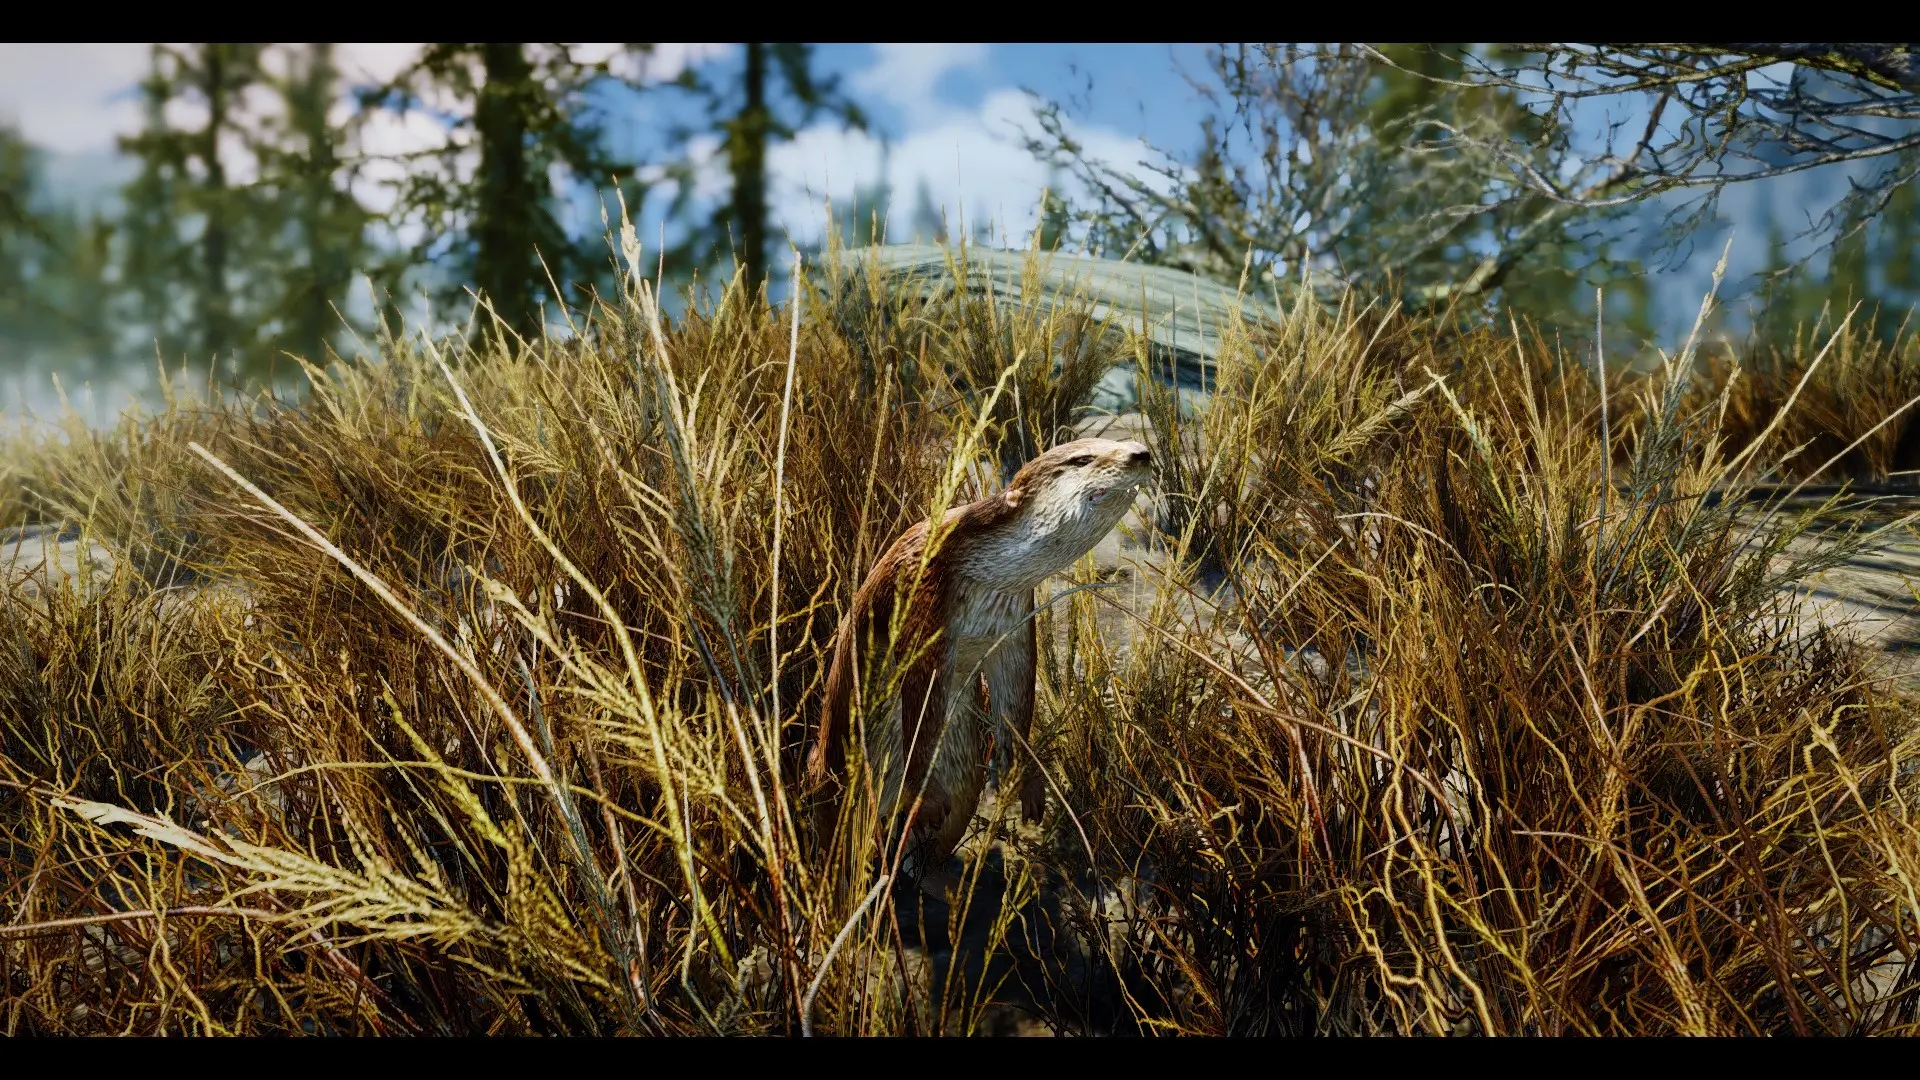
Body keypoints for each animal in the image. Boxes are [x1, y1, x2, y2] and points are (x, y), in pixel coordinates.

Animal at [807, 437, 1155, 897]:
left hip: (963, 773)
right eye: (1082, 459)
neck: (984, 573)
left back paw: (949, 886)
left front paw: (1026, 781)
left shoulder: (1016, 618)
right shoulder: (926, 590)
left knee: (928, 847)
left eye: (1119, 442)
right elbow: (920, 698)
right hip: (836, 781)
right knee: (841, 846)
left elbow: (1016, 694)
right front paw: (924, 796)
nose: (1141, 453)